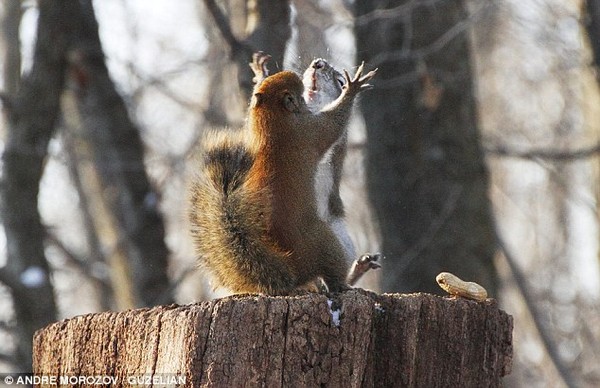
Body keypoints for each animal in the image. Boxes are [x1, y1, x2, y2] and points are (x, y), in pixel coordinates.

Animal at [189, 61, 376, 294]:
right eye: (294, 86)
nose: (316, 64)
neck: (272, 125)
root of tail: (293, 274)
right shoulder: (309, 132)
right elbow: (334, 124)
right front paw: (352, 88)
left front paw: (260, 74)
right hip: (326, 243)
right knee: (332, 277)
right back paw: (345, 282)